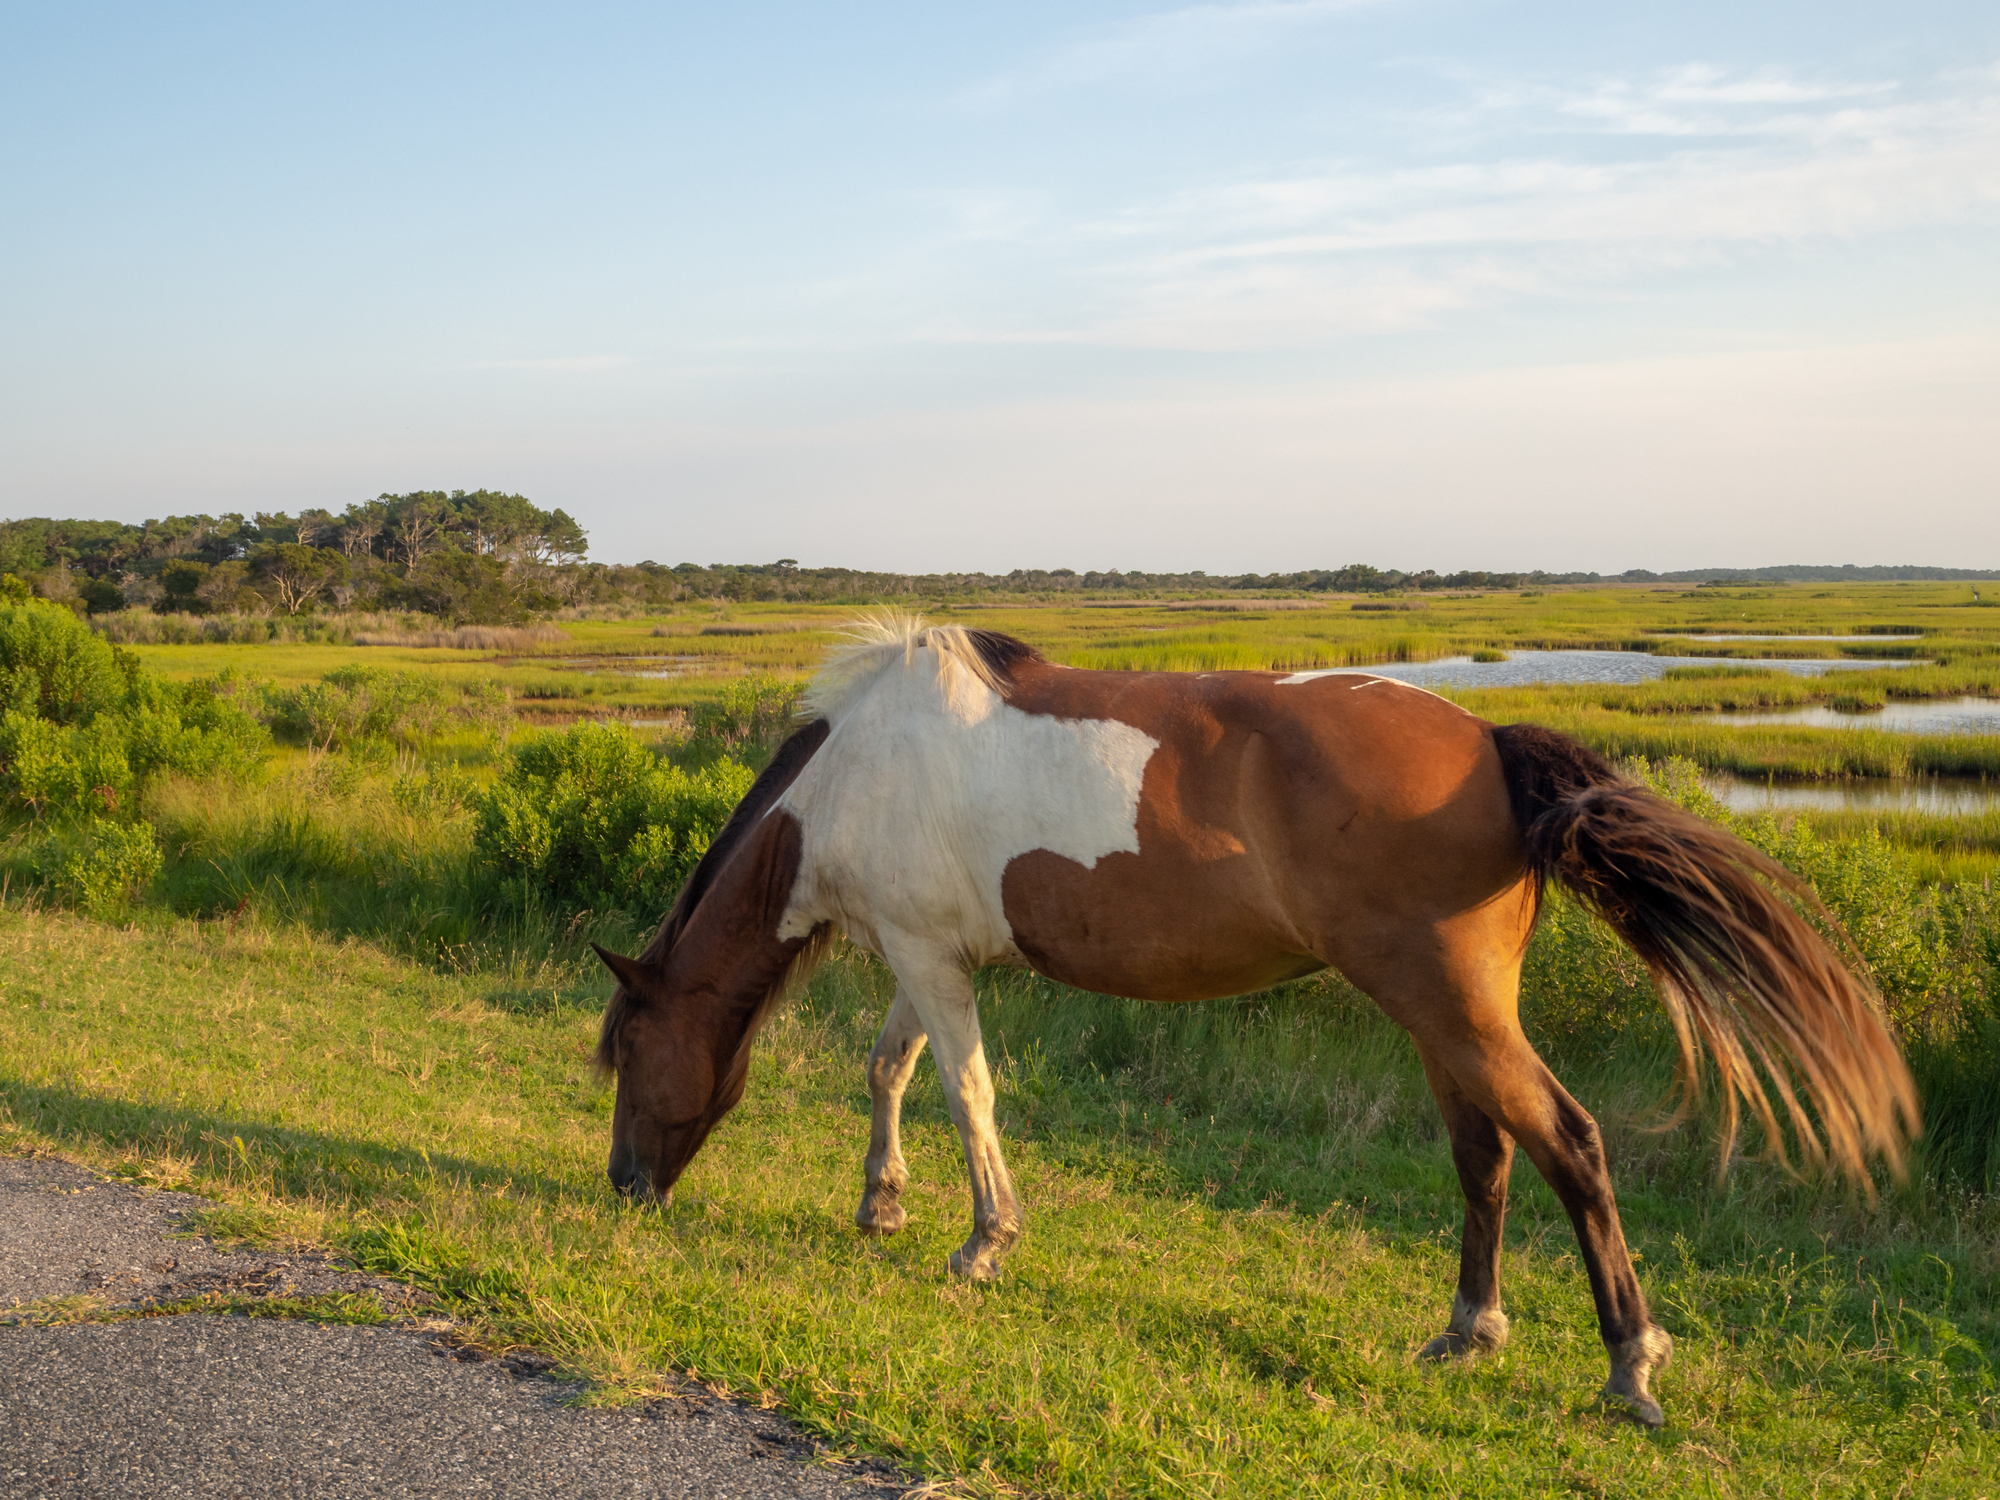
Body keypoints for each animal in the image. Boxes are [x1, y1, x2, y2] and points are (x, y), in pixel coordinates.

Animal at [584, 616, 1912, 1424]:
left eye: (631, 1051)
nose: (623, 1189)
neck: (854, 772)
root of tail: (1486, 740)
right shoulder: (932, 954)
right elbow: (889, 1069)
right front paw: (882, 1203)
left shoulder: (926, 954)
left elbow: (964, 1091)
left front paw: (980, 1243)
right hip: (1438, 1015)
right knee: (1482, 1155)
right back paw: (1467, 1331)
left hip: (1448, 1006)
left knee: (1567, 1142)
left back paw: (1628, 1365)